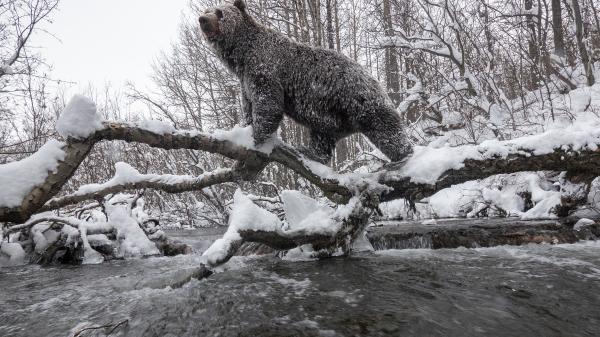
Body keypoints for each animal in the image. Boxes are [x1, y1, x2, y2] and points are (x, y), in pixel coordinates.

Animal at [197, 0, 412, 163]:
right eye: (206, 10)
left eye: (220, 13)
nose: (203, 20)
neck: (241, 57)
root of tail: (375, 80)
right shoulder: (245, 80)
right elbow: (249, 105)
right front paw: (245, 127)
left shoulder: (266, 70)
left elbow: (269, 104)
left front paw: (256, 137)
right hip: (329, 115)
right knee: (322, 138)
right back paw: (310, 152)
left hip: (359, 100)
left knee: (387, 130)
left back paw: (405, 156)